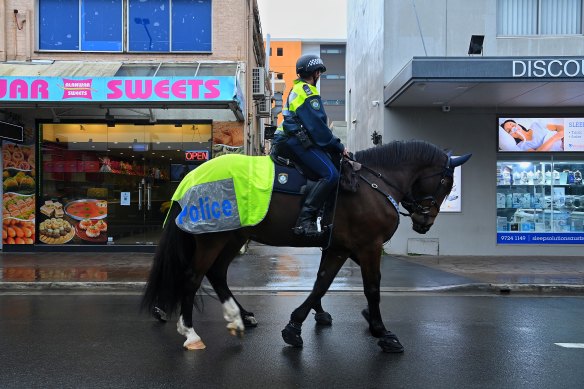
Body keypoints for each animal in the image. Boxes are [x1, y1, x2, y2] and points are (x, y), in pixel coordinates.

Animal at [141, 139, 470, 352]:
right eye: (447, 182)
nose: (424, 221)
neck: (373, 184)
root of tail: (191, 176)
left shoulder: (340, 248)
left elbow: (321, 284)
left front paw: (296, 326)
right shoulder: (368, 246)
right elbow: (372, 287)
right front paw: (382, 331)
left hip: (232, 236)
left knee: (217, 274)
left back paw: (238, 317)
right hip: (213, 238)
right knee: (191, 278)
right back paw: (191, 332)